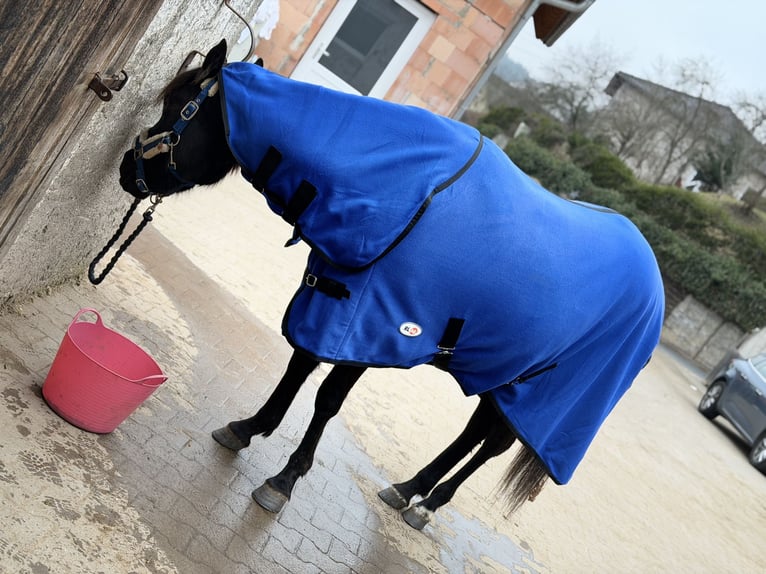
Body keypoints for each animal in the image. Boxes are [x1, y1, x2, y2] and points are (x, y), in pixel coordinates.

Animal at [118, 40, 665, 530]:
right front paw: (247, 428)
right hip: (505, 376)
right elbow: (297, 369)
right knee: (475, 435)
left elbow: (327, 399)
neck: (401, 193)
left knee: (493, 444)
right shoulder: (328, 297)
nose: (126, 170)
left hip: (537, 393)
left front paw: (284, 481)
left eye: (178, 108)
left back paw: (429, 505)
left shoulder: (369, 324)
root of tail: (654, 288)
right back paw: (407, 490)